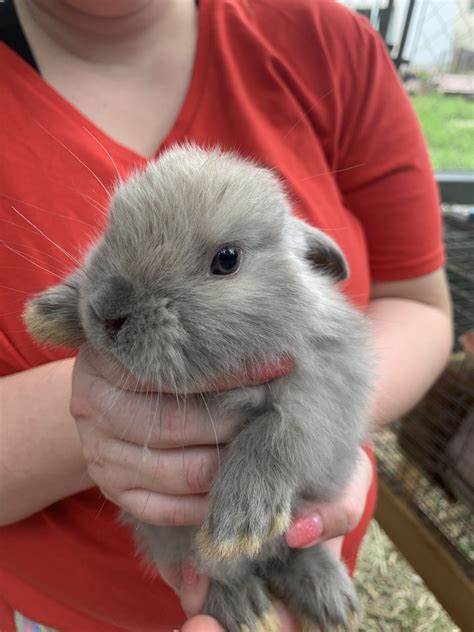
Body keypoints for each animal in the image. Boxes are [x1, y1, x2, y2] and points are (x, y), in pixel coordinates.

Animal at [25, 144, 374, 632]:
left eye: (227, 258)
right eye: (113, 229)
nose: (108, 313)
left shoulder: (323, 395)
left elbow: (278, 432)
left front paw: (236, 526)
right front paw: (51, 312)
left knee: (291, 549)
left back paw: (328, 600)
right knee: (217, 572)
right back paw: (248, 608)